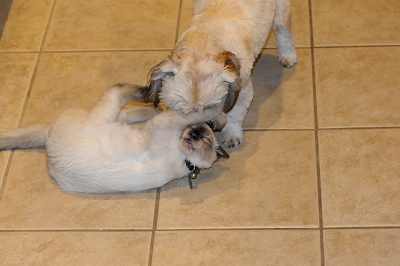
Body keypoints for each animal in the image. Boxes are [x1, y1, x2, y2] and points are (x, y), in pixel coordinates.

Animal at [147, 0, 296, 147]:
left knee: (284, 32)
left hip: (281, 12)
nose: (199, 129)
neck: (204, 43)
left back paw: (288, 56)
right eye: (183, 112)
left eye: (211, 107)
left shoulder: (242, 89)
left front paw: (231, 135)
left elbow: (235, 115)